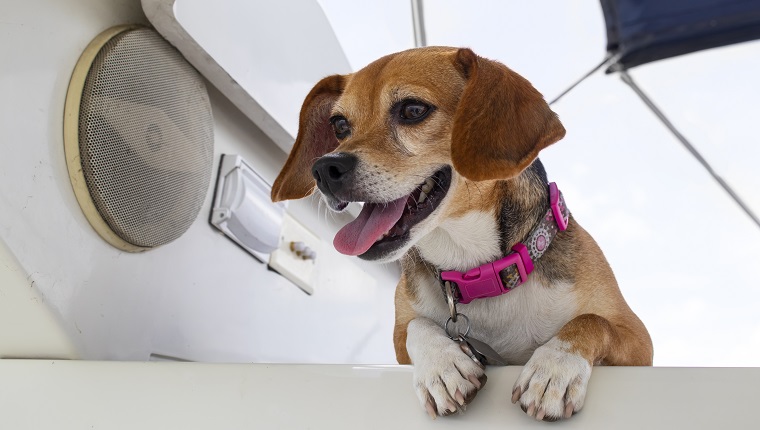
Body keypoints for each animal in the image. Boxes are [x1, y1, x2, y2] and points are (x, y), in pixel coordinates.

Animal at [270, 46, 652, 420]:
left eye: (412, 110)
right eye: (339, 125)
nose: (324, 169)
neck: (474, 267)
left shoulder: (638, 340)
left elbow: (592, 321)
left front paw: (555, 367)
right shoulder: (400, 336)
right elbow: (417, 326)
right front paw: (442, 365)